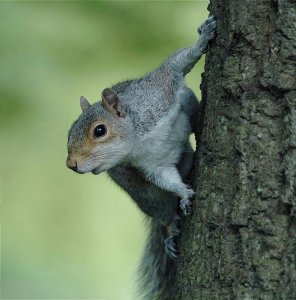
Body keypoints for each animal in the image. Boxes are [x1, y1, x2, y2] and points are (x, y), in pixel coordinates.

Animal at [66, 15, 215, 300]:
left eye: (99, 130)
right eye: (69, 132)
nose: (71, 164)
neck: (137, 143)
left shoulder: (158, 92)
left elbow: (177, 64)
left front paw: (203, 38)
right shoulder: (150, 167)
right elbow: (166, 179)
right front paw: (184, 194)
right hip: (147, 197)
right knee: (164, 214)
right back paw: (170, 233)